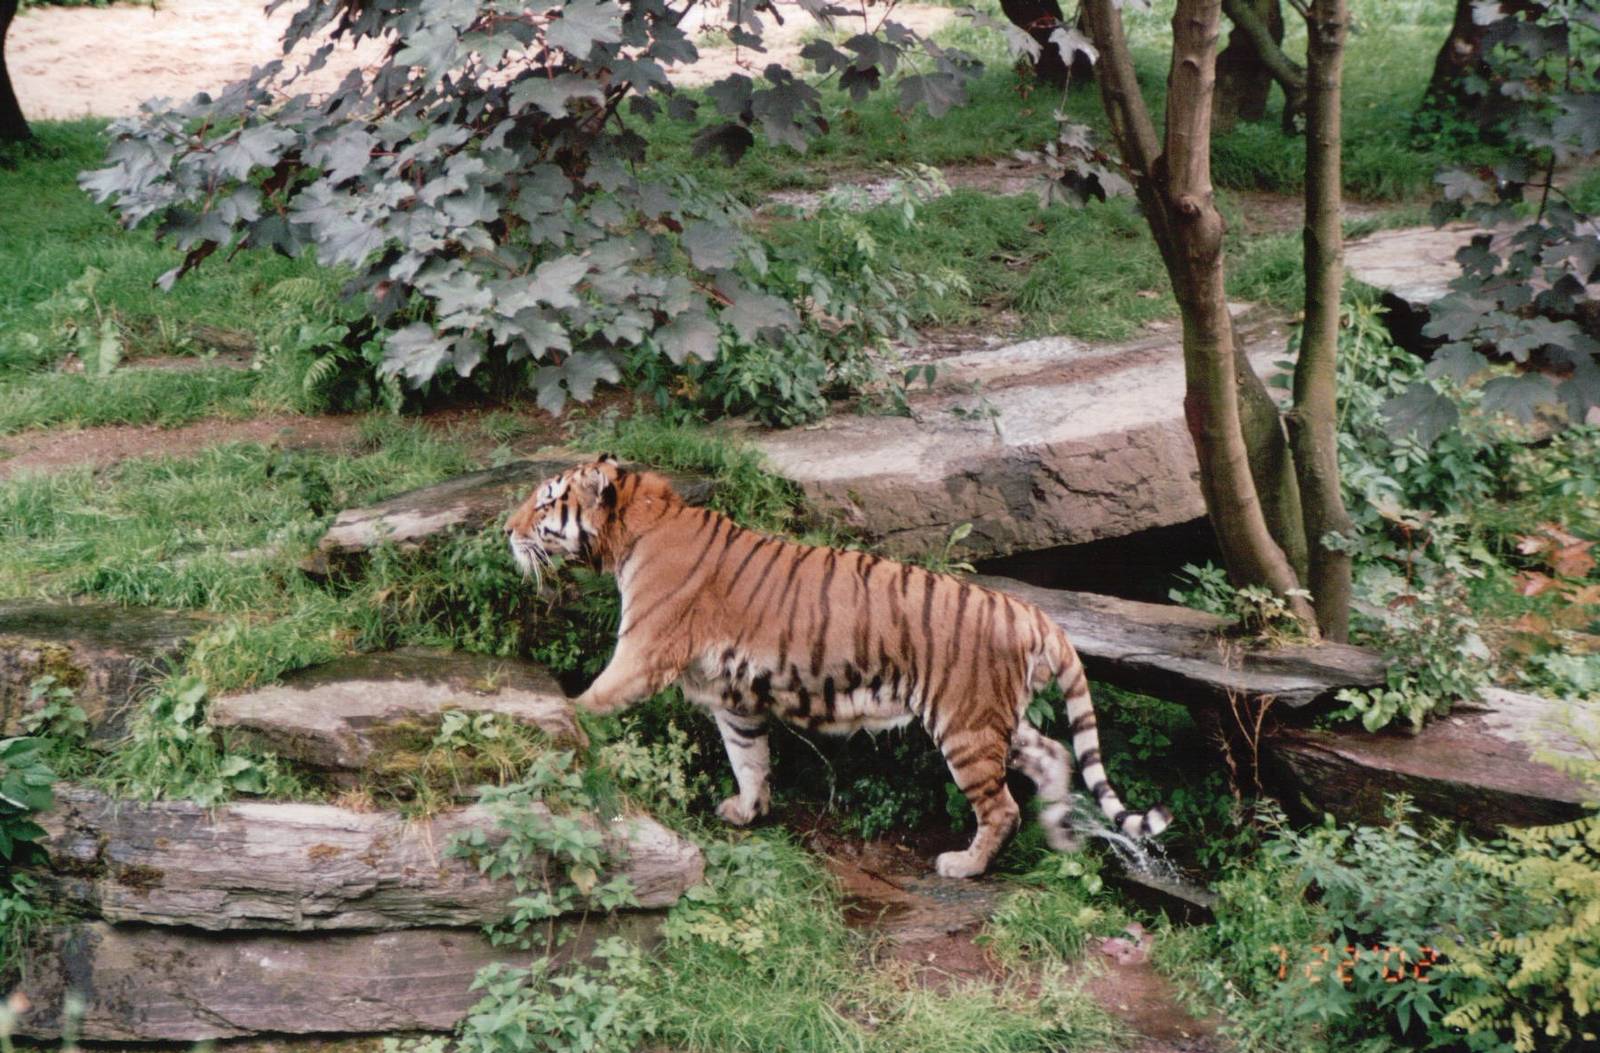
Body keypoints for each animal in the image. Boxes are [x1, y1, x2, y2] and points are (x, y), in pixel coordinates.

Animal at [506, 455, 1170, 878]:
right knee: (1054, 755)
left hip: (964, 722)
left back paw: (965, 866)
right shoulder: (734, 696)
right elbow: (748, 757)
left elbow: (590, 702)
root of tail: (1034, 613)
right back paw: (1061, 837)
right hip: (995, 717)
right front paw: (747, 811)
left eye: (545, 502)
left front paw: (556, 730)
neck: (632, 529)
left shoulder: (642, 653)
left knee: (1001, 805)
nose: (506, 530)